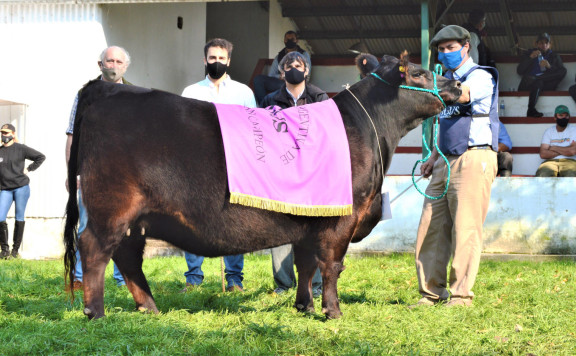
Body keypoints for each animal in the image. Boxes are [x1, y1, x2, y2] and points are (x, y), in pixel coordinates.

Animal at [62, 55, 460, 320]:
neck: (367, 127)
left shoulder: (309, 218)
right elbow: (331, 264)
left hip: (135, 219)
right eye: (421, 72)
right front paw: (332, 311)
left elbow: (306, 264)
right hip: (112, 206)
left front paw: (304, 306)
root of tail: (106, 89)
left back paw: (149, 307)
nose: (457, 84)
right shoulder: (341, 218)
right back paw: (96, 312)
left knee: (128, 257)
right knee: (95, 248)